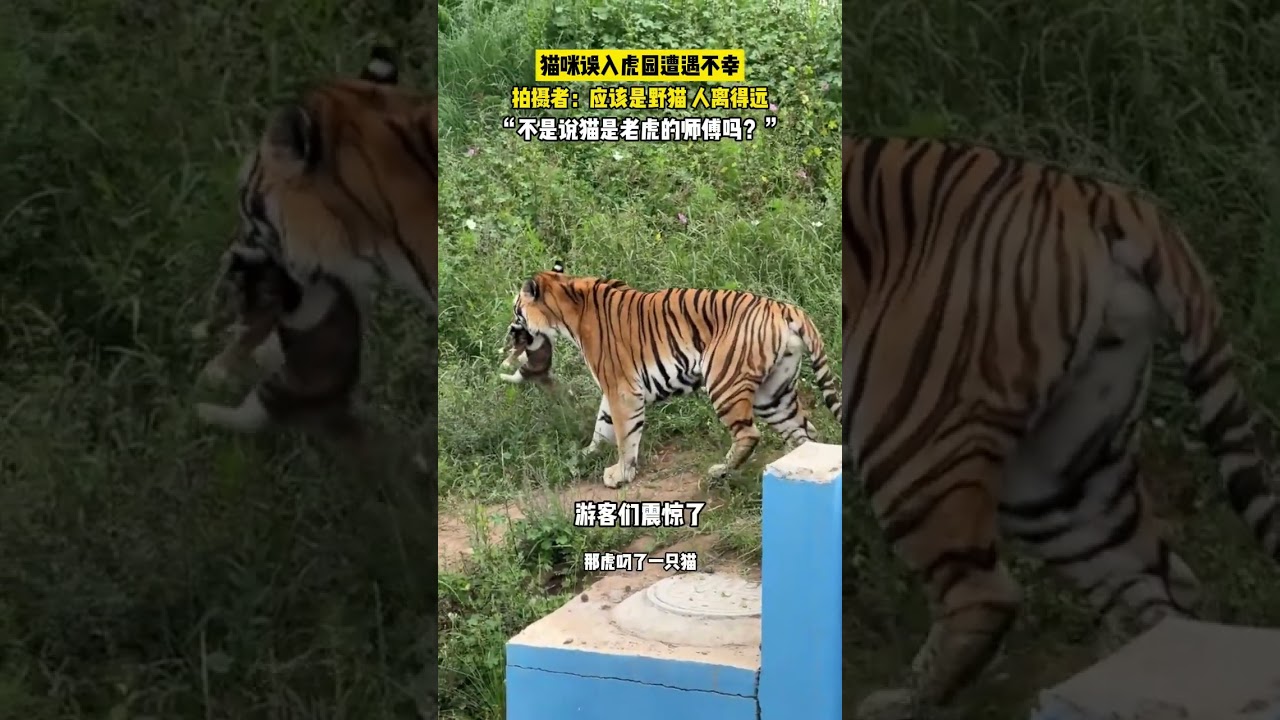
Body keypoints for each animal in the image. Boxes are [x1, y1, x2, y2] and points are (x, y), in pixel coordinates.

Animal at [509, 262, 842, 488]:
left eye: (516, 310)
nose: (511, 332)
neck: (567, 305)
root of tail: (785, 308)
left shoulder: (622, 388)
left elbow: (624, 434)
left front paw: (621, 473)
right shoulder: (614, 388)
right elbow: (602, 424)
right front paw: (587, 454)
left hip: (724, 382)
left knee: (749, 434)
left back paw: (719, 472)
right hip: (772, 393)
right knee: (804, 432)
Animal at [842, 136, 1280, 719]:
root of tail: (1101, 194)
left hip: (905, 434)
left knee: (986, 596)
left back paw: (897, 703)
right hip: (1059, 476)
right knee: (1158, 590)